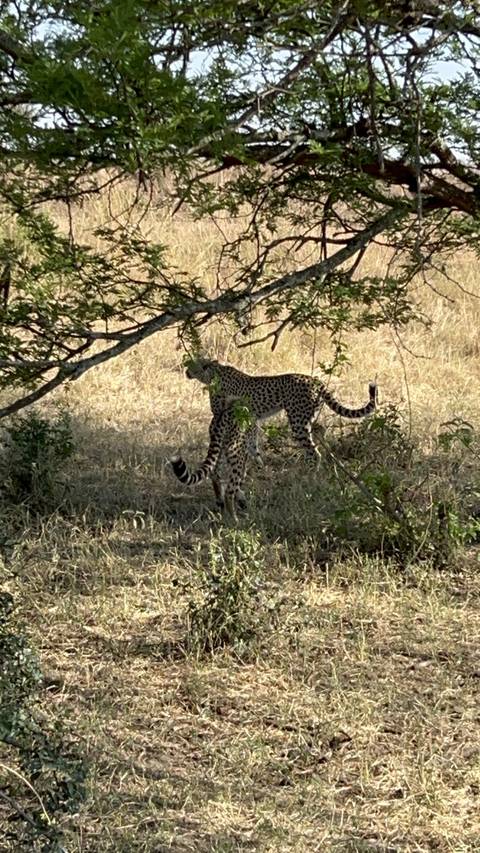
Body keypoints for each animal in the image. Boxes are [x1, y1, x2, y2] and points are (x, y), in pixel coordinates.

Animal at [170, 357, 377, 518]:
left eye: (191, 365)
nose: (186, 372)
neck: (215, 372)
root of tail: (315, 381)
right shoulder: (243, 420)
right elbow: (247, 446)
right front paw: (258, 464)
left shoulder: (223, 416)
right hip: (307, 417)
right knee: (320, 430)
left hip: (298, 421)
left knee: (313, 452)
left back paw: (310, 479)